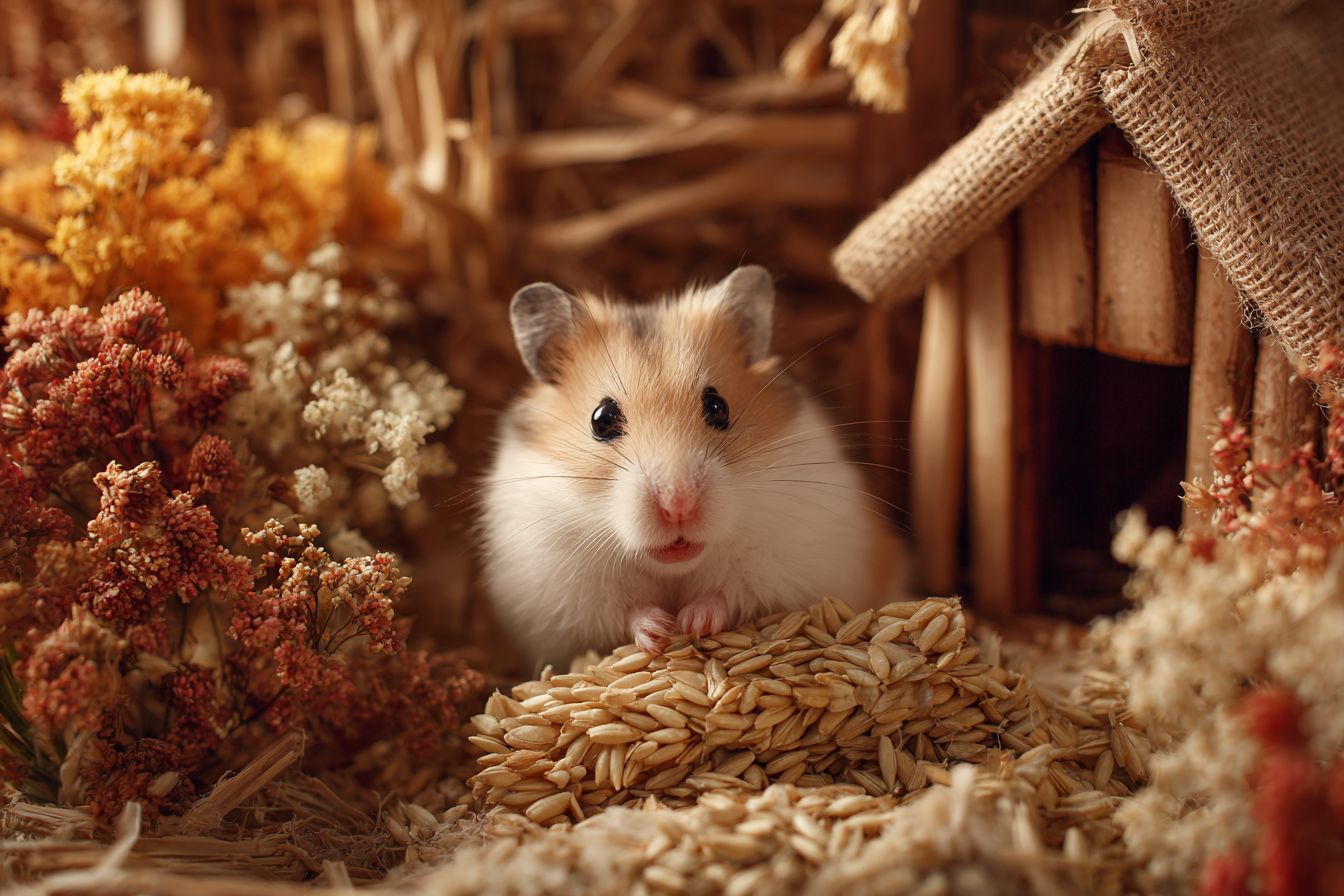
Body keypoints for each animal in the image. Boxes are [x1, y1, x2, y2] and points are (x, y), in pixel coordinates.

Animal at [480, 266, 904, 668]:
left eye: (718, 407)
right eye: (601, 420)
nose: (678, 506)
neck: (674, 569)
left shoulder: (790, 563)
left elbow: (731, 592)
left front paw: (691, 623)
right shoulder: (562, 590)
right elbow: (622, 610)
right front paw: (659, 632)